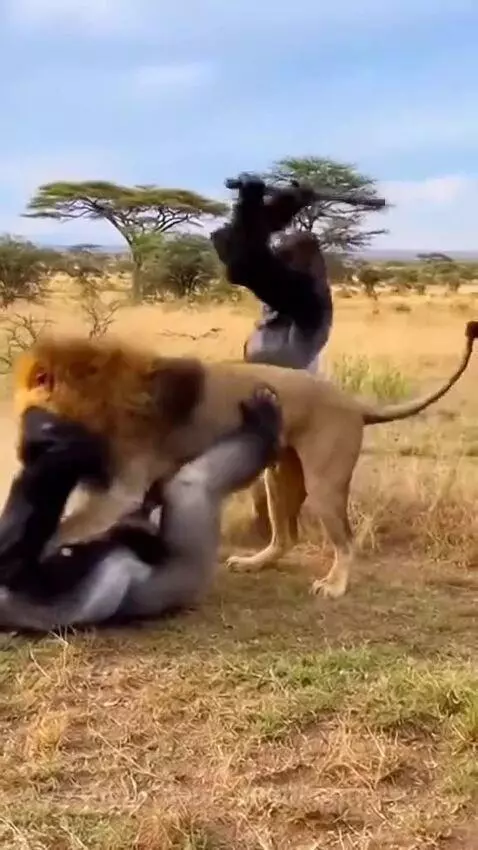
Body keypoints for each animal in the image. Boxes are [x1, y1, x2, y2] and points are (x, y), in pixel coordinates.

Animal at [12, 320, 477, 600]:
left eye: (31, 424)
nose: (20, 453)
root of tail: (353, 403)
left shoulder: (121, 486)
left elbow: (69, 524)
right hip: (278, 474)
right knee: (286, 535)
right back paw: (254, 563)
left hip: (325, 482)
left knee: (345, 540)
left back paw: (334, 586)